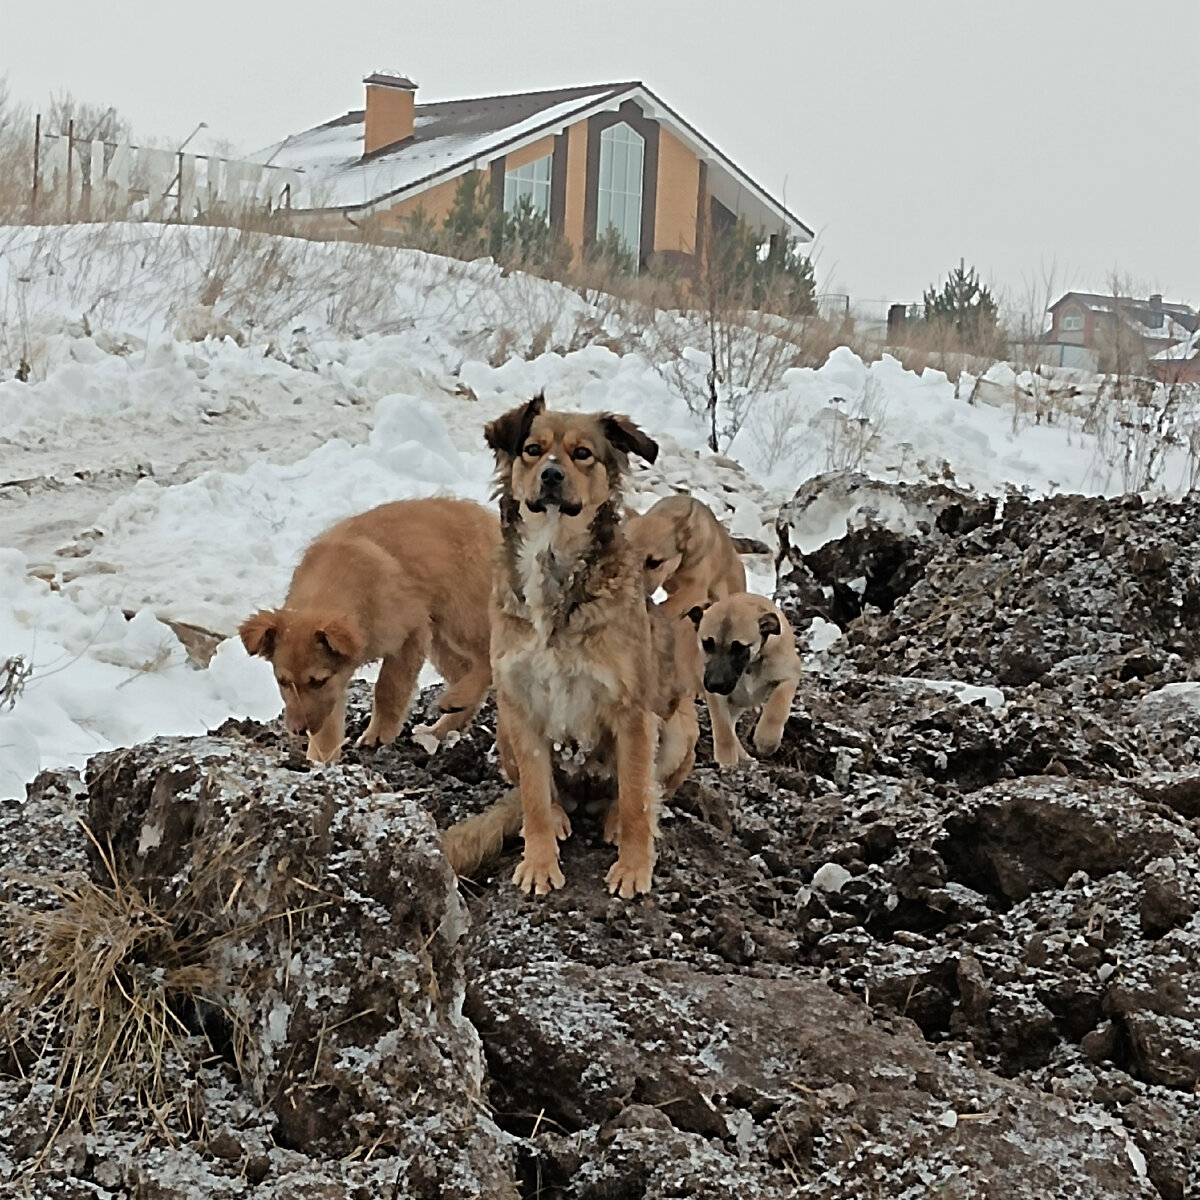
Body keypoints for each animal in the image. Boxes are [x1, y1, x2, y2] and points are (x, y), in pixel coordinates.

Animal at [236, 494, 499, 758]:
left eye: (318, 681)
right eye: (282, 681)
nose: (298, 730)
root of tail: (489, 519)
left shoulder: (411, 633)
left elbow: (388, 687)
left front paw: (378, 734)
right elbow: (328, 724)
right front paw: (322, 759)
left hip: (462, 616)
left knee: (489, 658)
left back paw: (455, 699)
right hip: (442, 642)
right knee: (469, 672)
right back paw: (441, 728)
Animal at [446, 396, 700, 902]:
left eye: (583, 454)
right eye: (532, 449)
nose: (550, 475)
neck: (552, 559)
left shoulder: (632, 710)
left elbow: (638, 798)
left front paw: (633, 867)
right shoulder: (520, 704)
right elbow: (535, 797)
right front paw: (539, 862)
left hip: (680, 723)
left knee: (642, 791)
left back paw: (616, 818)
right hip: (503, 725)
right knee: (548, 792)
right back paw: (562, 815)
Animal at [691, 590, 801, 768]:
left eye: (739, 648)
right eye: (707, 644)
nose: (715, 684)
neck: (751, 664)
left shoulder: (789, 676)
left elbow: (777, 707)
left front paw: (767, 740)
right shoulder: (717, 697)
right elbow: (723, 728)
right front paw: (727, 761)